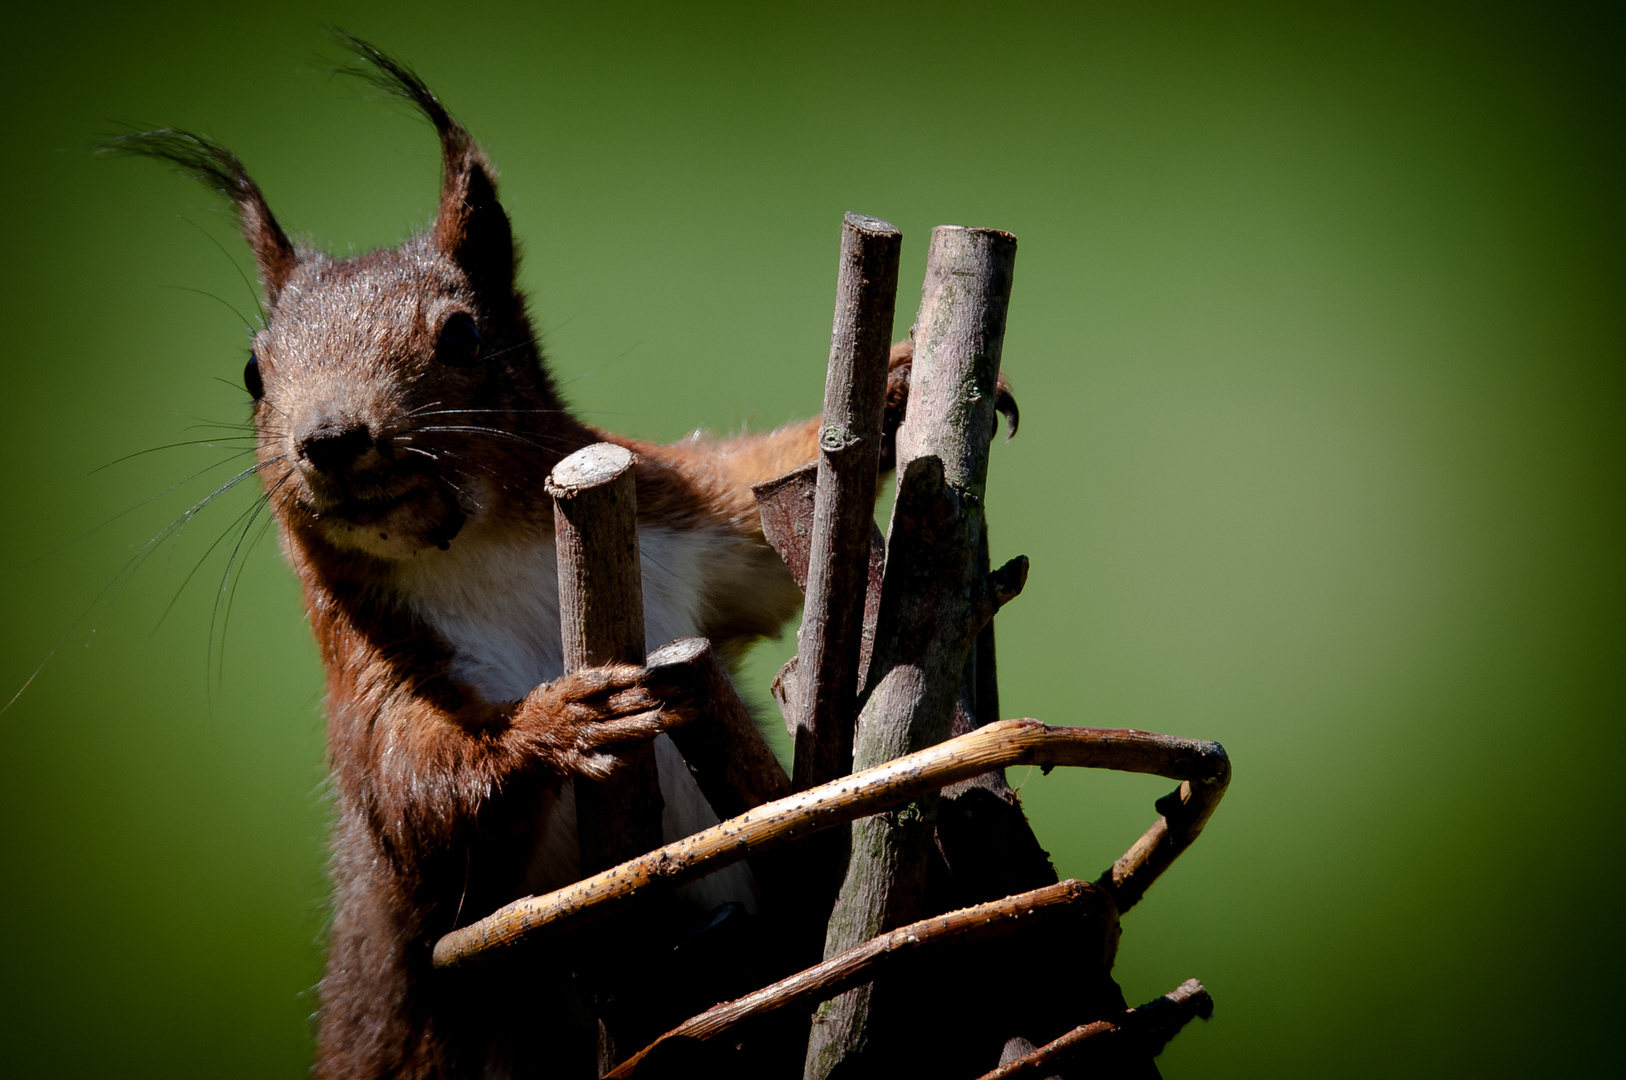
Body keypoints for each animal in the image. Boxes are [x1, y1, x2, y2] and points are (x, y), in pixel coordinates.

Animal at [114, 33, 1008, 1080]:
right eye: (252, 373)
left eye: (462, 334)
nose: (328, 439)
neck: (483, 552)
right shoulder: (370, 682)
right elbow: (421, 797)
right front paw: (558, 722)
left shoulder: (683, 522)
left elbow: (763, 504)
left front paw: (904, 381)